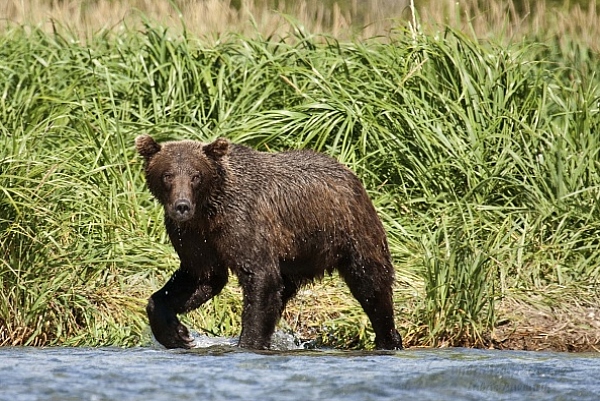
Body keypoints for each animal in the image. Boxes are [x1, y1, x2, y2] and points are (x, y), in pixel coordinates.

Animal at [136, 135, 404, 350]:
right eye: (167, 175)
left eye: (196, 176)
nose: (181, 206)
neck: (208, 211)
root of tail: (350, 173)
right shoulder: (193, 237)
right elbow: (200, 277)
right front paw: (178, 334)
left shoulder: (243, 223)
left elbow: (259, 277)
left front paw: (248, 343)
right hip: (297, 252)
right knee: (281, 292)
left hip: (348, 232)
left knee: (371, 284)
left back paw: (388, 340)